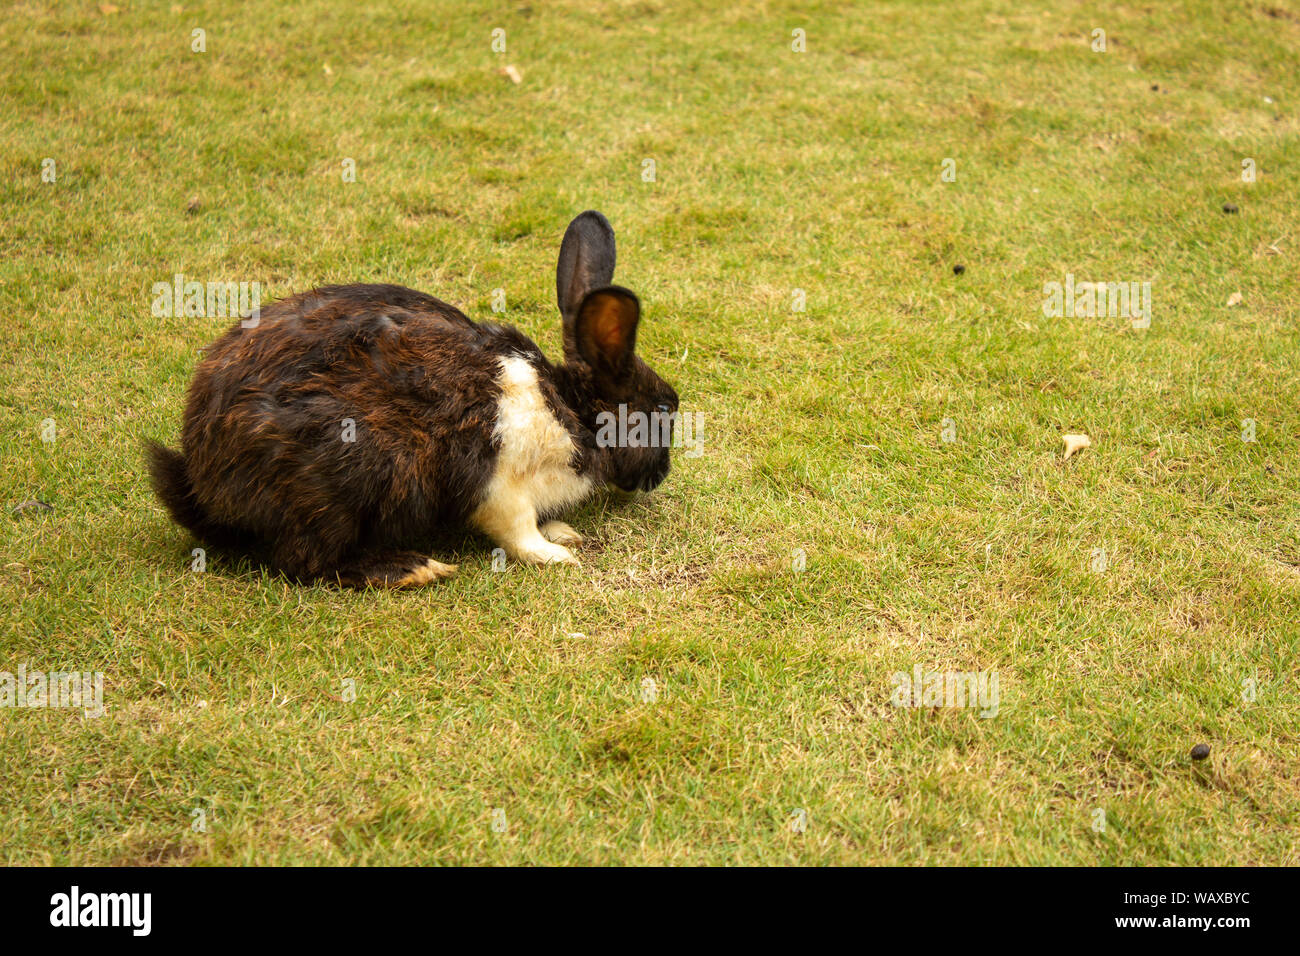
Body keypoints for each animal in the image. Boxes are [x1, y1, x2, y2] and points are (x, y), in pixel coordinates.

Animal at [149, 210, 681, 587]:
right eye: (663, 410)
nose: (659, 476)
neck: (570, 411)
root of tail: (204, 485)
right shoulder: (498, 486)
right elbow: (518, 530)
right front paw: (557, 554)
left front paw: (565, 532)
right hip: (339, 484)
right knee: (305, 563)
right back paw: (414, 569)